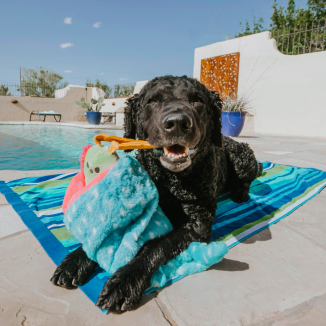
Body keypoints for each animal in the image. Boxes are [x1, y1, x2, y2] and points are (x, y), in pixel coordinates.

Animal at [51, 76, 262, 314]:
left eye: (198, 100)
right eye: (152, 101)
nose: (178, 122)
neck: (171, 183)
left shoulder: (197, 225)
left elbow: (156, 245)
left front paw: (125, 281)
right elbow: (102, 234)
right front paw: (76, 260)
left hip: (242, 158)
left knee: (250, 175)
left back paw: (241, 193)